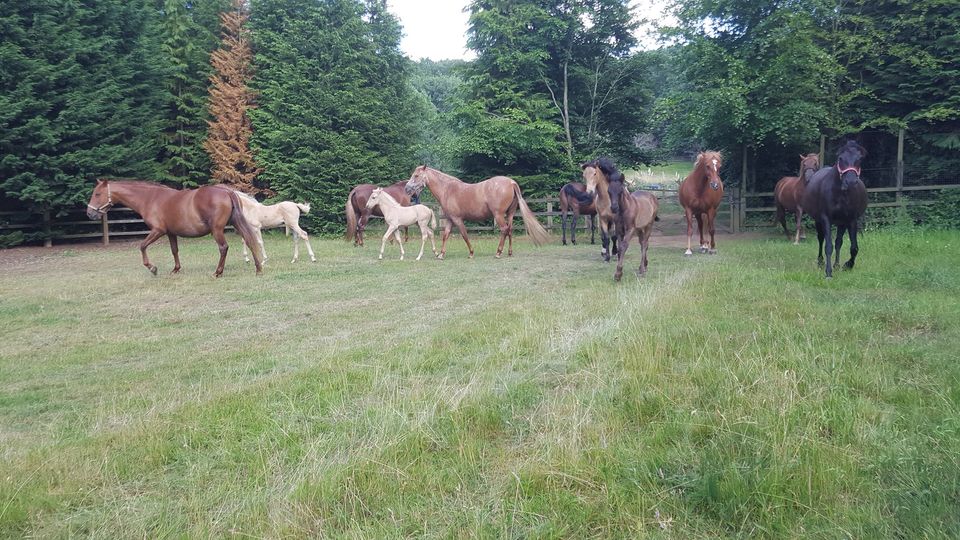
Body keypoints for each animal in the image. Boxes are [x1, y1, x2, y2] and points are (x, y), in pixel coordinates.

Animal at [86, 179, 262, 276]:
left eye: (97, 194)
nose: (90, 213)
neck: (150, 198)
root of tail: (226, 191)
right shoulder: (171, 233)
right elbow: (174, 250)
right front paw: (176, 269)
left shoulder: (158, 231)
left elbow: (142, 246)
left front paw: (152, 268)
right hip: (236, 224)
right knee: (249, 240)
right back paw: (258, 268)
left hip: (217, 230)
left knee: (223, 248)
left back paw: (218, 272)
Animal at [402, 166, 548, 258]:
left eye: (416, 175)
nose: (407, 189)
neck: (448, 189)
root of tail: (511, 182)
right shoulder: (450, 219)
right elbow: (446, 235)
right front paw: (441, 254)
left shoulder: (457, 219)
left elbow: (464, 235)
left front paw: (471, 253)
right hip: (510, 214)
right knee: (510, 230)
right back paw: (509, 252)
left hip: (499, 215)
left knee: (504, 230)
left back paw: (498, 252)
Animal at [800, 139, 868, 278]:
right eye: (840, 158)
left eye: (859, 159)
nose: (850, 181)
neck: (841, 193)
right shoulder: (826, 219)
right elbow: (828, 246)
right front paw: (828, 272)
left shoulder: (851, 220)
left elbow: (853, 247)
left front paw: (848, 265)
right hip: (818, 221)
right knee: (821, 239)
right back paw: (821, 262)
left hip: (841, 223)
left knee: (838, 242)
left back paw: (837, 265)